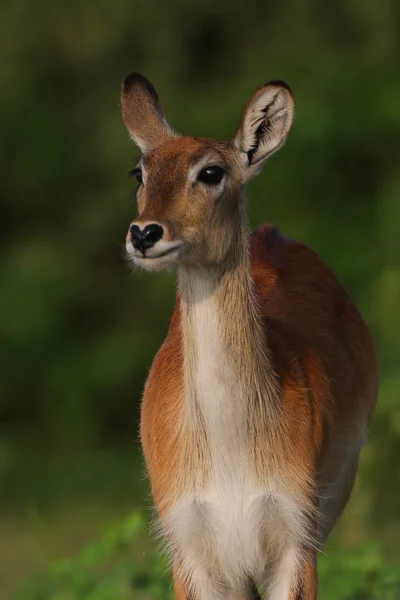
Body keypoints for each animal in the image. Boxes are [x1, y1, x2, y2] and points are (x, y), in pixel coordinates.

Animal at [121, 71, 378, 600]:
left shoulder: (295, 540)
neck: (232, 455)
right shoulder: (192, 551)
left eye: (211, 171)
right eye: (139, 172)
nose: (144, 233)